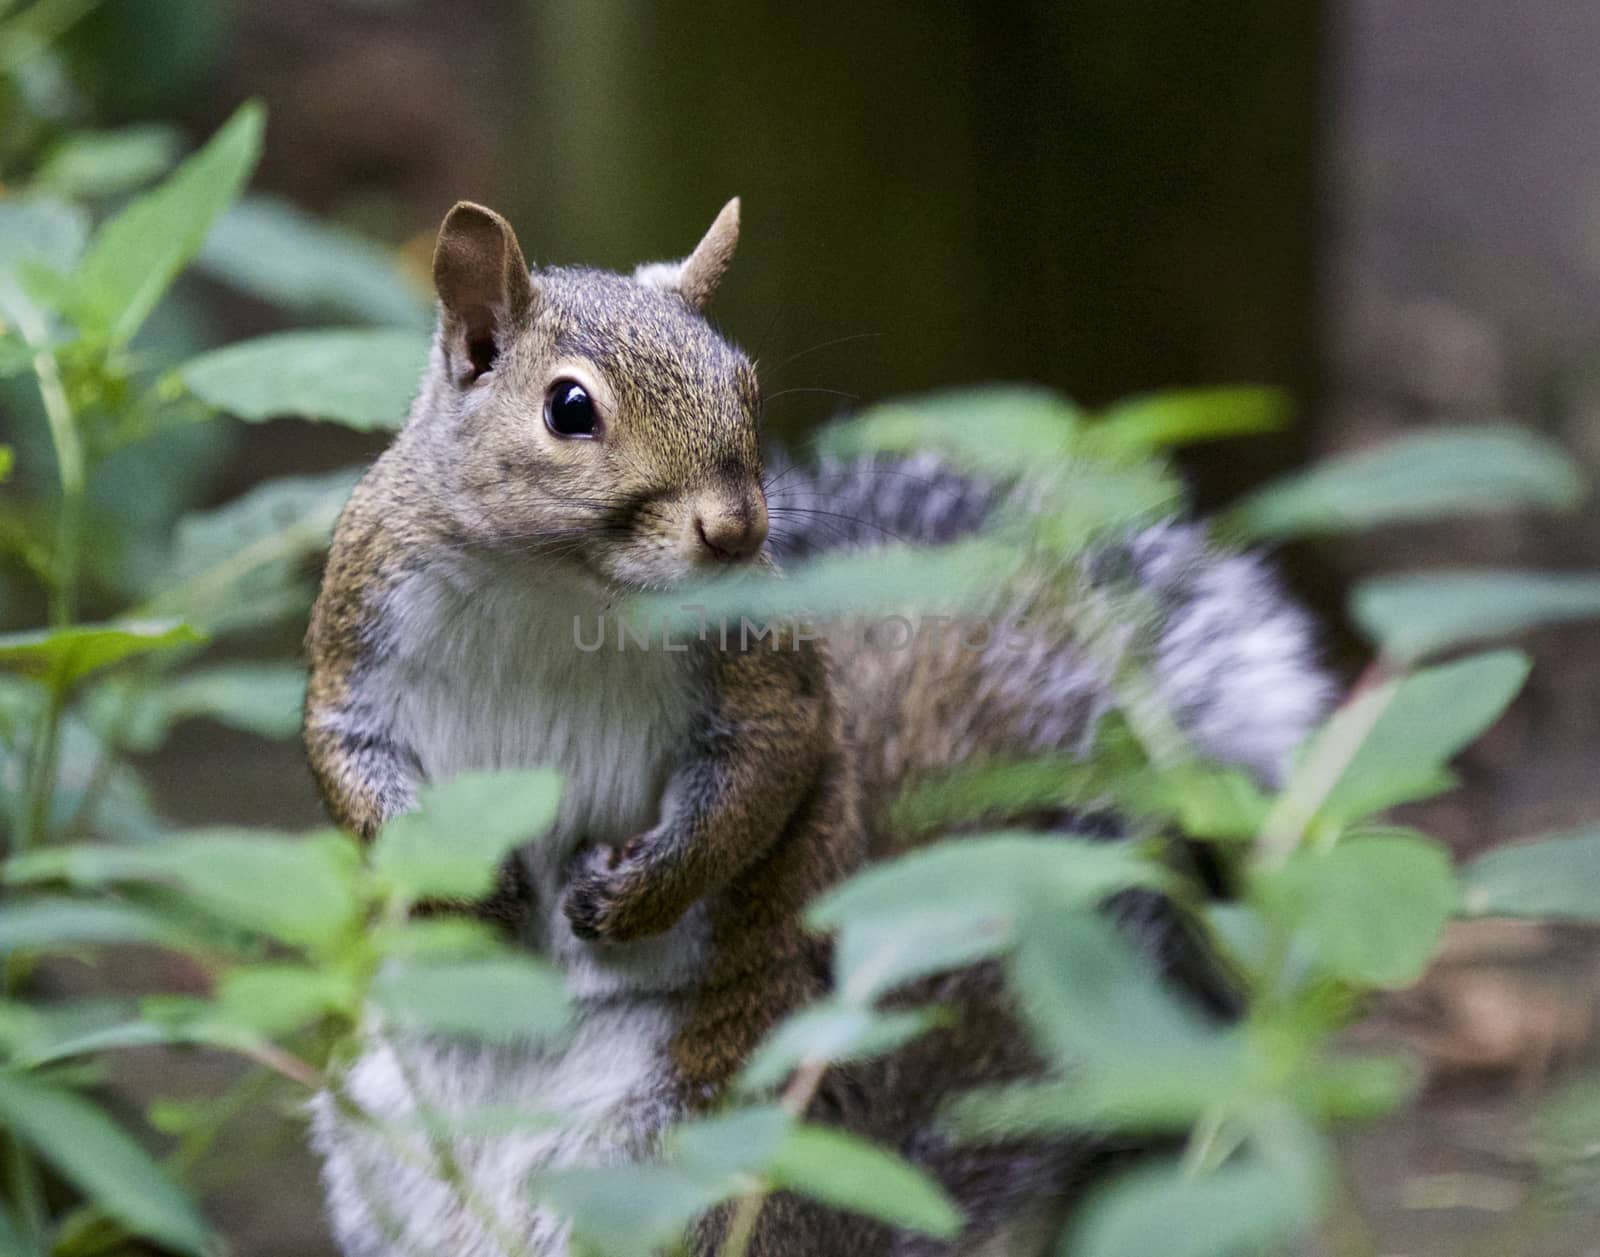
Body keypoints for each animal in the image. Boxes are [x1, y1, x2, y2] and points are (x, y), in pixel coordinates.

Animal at [300, 200, 1324, 1247]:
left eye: (745, 385)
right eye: (569, 409)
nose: (738, 531)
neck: (557, 586)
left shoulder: (761, 679)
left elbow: (763, 774)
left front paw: (632, 895)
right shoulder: (357, 639)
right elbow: (345, 757)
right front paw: (459, 887)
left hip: (693, 1153)